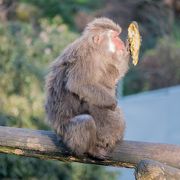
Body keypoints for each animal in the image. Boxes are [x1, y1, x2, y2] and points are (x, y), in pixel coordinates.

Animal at [44, 16, 129, 158]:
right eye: (115, 37)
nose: (122, 43)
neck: (96, 50)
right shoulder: (85, 58)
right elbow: (78, 84)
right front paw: (113, 103)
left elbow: (108, 83)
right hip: (68, 134)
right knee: (87, 115)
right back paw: (93, 149)